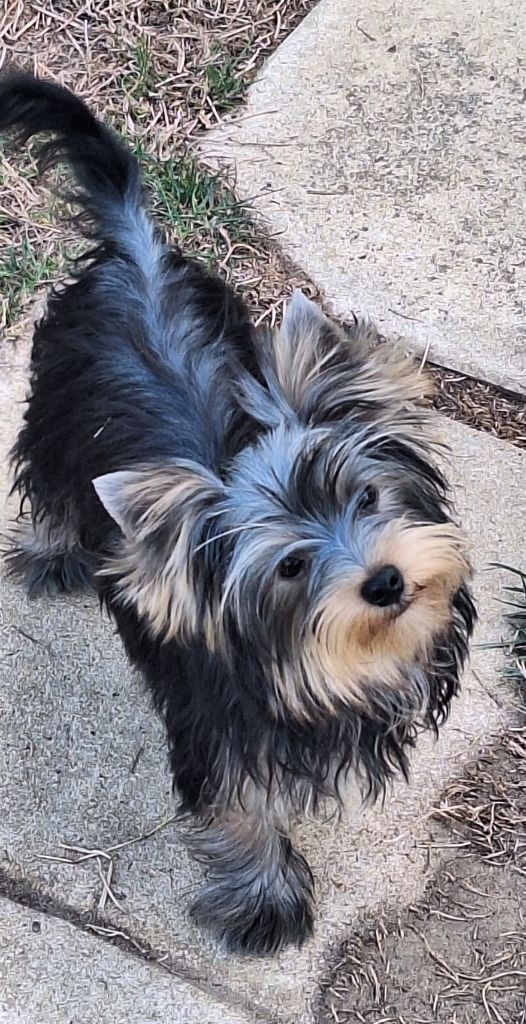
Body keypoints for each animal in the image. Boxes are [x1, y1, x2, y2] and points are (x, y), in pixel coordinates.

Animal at [0, 73, 476, 955]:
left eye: (366, 496)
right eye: (290, 566)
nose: (386, 582)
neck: (318, 662)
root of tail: (136, 248)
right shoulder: (218, 728)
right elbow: (241, 806)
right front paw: (265, 902)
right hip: (53, 406)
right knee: (48, 480)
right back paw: (52, 553)